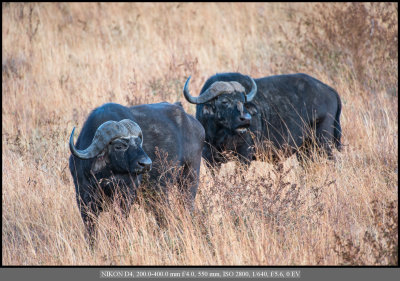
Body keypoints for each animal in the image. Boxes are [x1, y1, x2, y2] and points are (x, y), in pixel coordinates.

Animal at [68, 101, 203, 244]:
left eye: (139, 143)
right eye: (119, 146)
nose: (146, 164)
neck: (105, 178)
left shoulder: (125, 197)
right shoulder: (83, 198)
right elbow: (91, 231)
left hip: (190, 178)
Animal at [183, 72, 342, 168]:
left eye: (242, 100)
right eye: (224, 101)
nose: (246, 119)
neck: (222, 135)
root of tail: (328, 89)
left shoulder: (244, 155)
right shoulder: (209, 158)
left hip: (322, 141)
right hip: (305, 149)